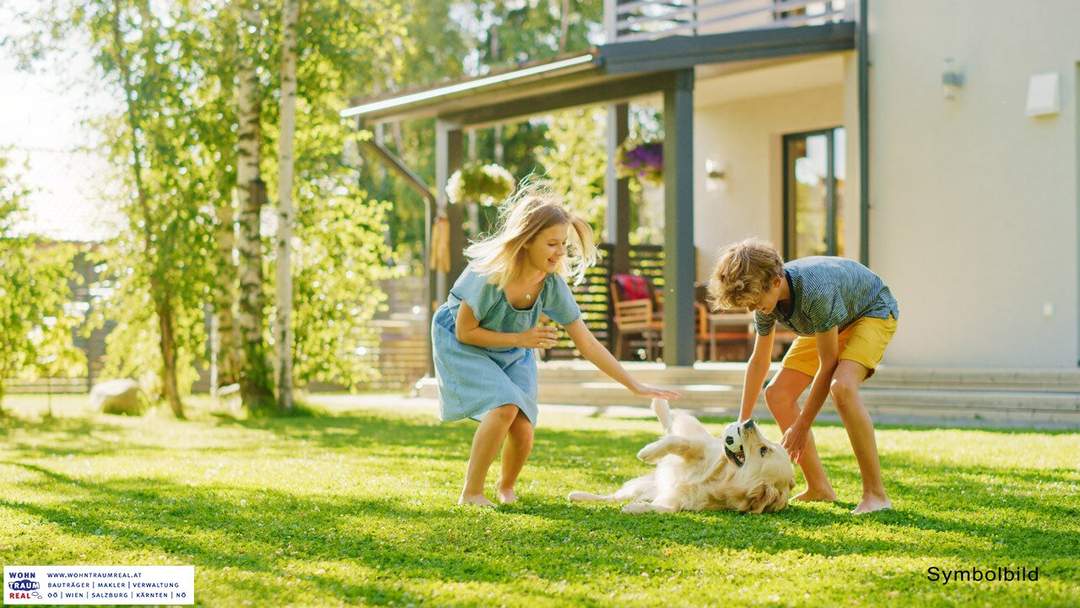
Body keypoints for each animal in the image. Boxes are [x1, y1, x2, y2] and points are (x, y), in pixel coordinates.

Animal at [574, 399, 794, 514]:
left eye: (763, 450)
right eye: (769, 445)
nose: (749, 422)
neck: (724, 478)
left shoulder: (679, 500)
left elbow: (663, 508)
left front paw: (635, 508)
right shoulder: (703, 448)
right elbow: (678, 442)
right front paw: (647, 452)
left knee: (613, 498)